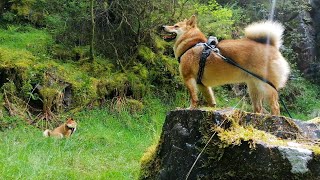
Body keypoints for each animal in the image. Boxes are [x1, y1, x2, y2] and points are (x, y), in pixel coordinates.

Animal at [162, 14, 290, 114]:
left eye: (176, 26)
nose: (162, 26)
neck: (191, 44)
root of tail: (272, 46)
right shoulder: (203, 85)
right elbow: (211, 100)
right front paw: (211, 109)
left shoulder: (188, 78)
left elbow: (194, 98)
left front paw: (190, 108)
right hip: (254, 87)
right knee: (258, 107)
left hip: (265, 85)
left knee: (275, 106)